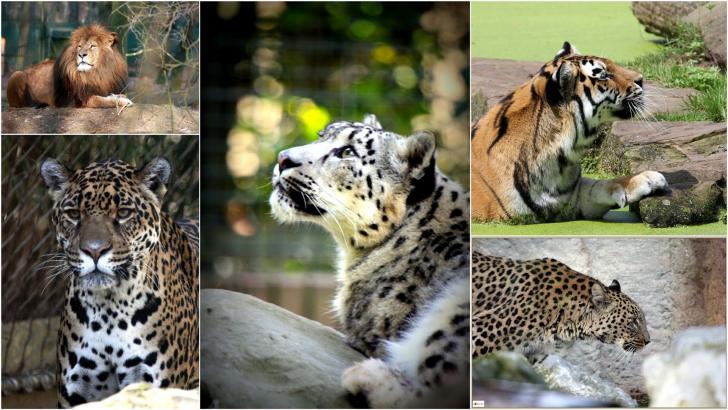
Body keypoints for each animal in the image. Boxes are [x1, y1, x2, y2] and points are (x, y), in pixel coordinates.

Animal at [471, 41, 668, 222]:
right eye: (603, 74)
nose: (641, 79)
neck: (560, 162)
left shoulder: (573, 199)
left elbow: (599, 185)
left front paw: (647, 178)